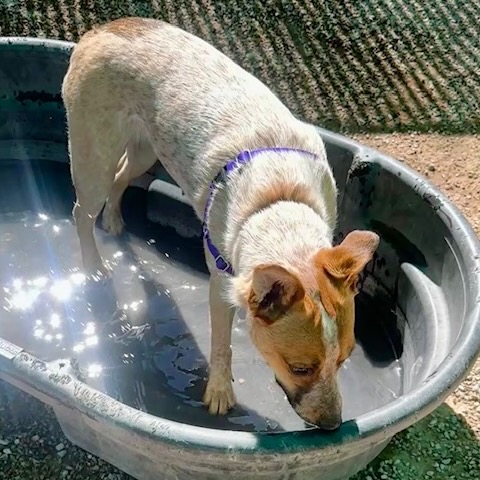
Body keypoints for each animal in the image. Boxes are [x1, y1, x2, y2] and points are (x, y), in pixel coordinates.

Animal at [62, 17, 379, 430]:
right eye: (300, 368)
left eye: (344, 359)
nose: (332, 426)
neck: (279, 202)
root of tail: (101, 29)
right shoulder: (220, 284)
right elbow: (220, 345)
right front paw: (219, 392)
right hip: (94, 158)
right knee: (81, 212)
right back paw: (93, 266)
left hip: (146, 151)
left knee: (119, 180)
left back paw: (114, 222)